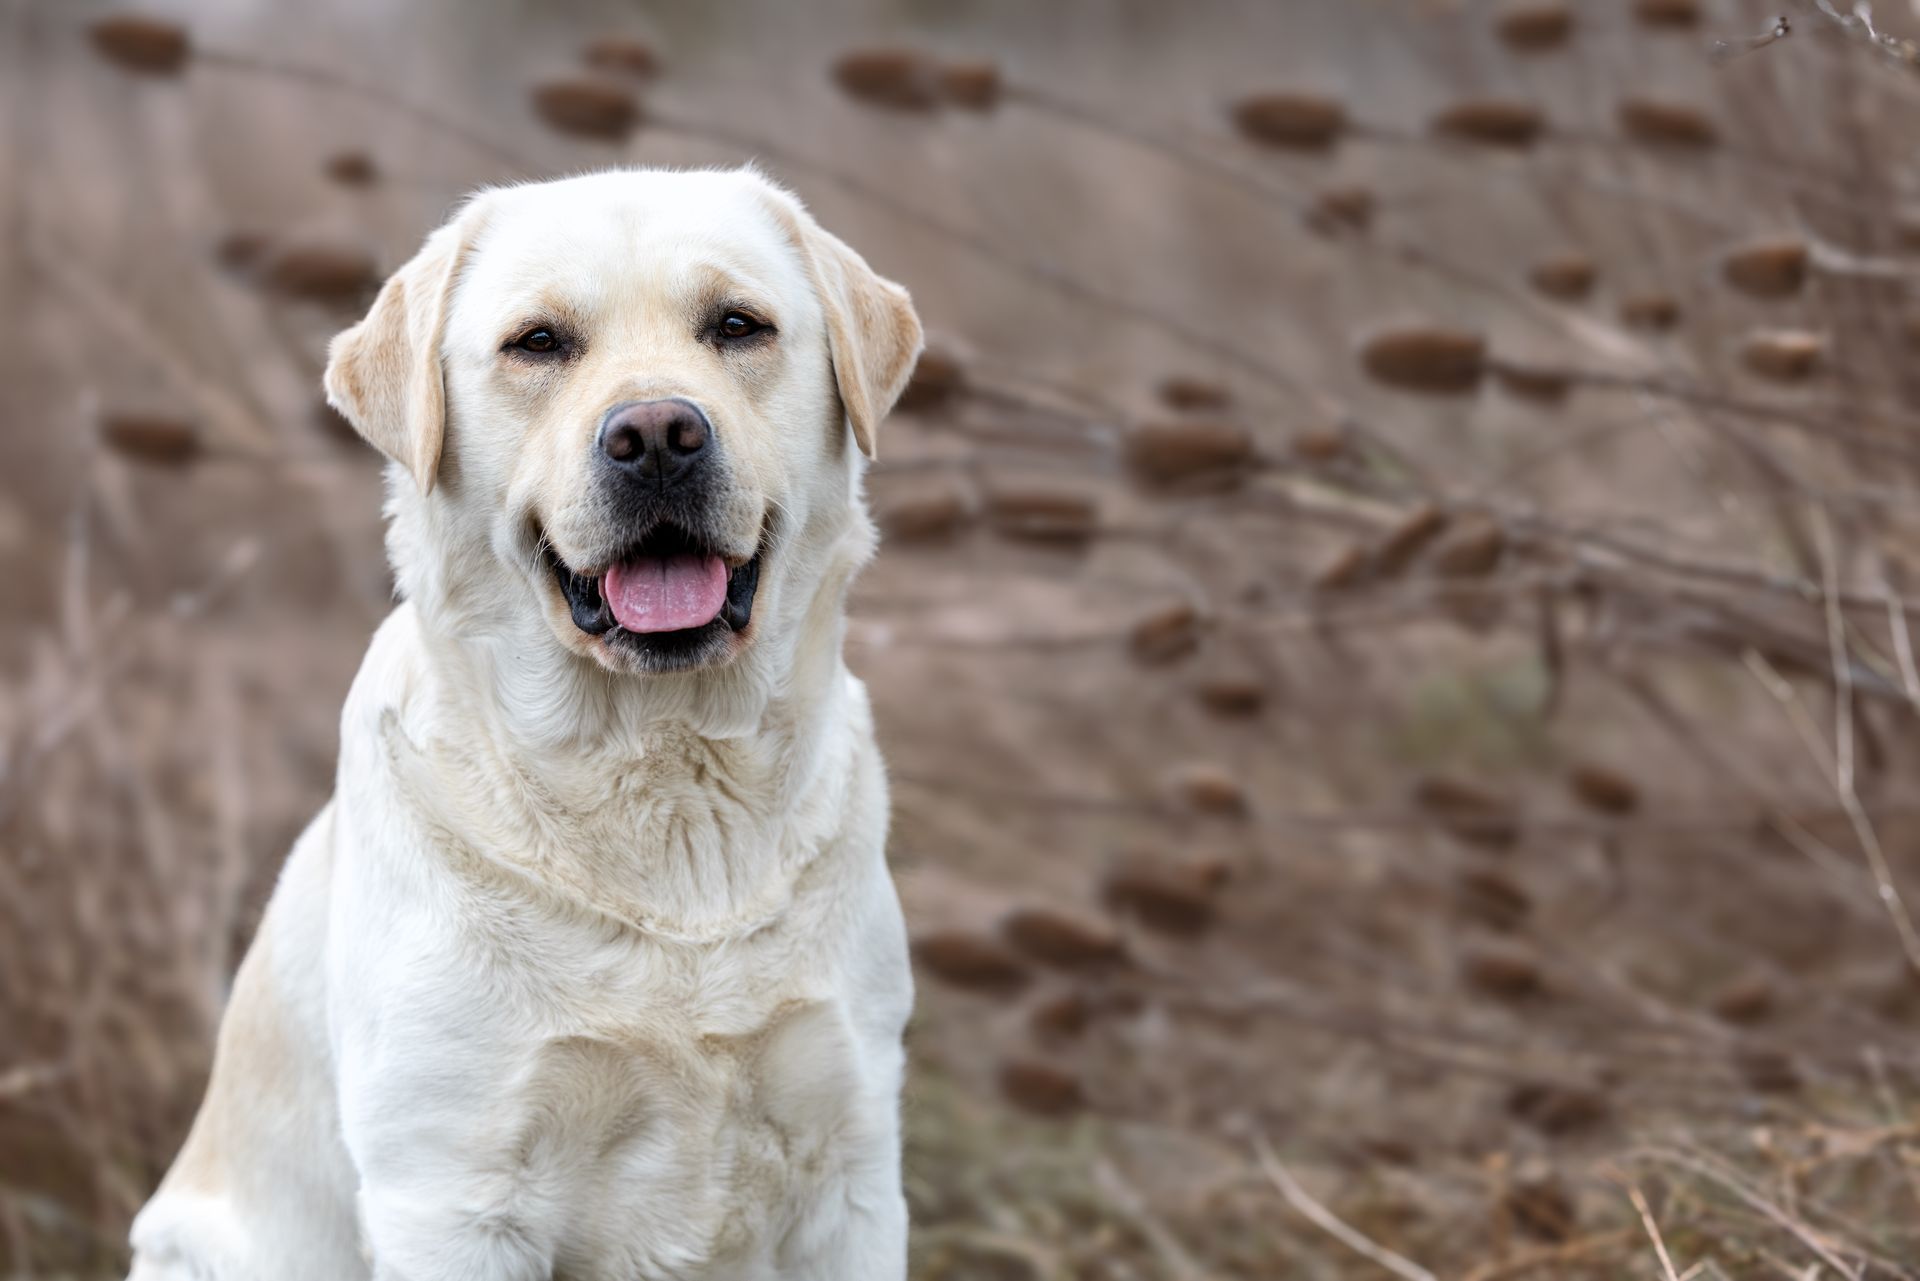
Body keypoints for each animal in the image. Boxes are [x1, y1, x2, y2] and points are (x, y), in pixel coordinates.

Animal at [126, 167, 924, 1281]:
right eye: (538, 343)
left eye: (738, 325)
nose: (657, 436)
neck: (664, 785)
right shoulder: (449, 1194)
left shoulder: (851, 1166)